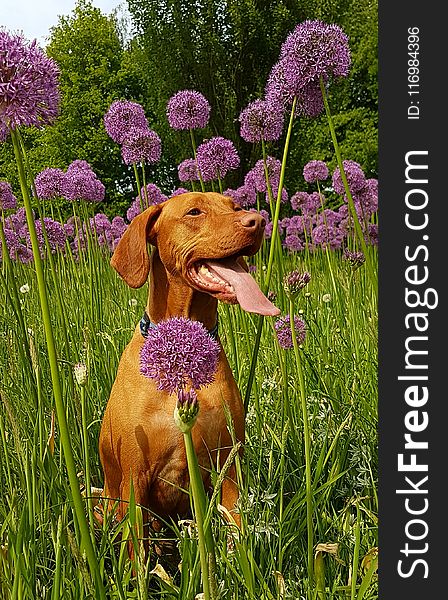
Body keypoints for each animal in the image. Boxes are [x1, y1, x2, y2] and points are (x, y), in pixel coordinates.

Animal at [100, 193, 278, 544]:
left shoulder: (228, 466)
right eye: (194, 211)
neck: (183, 353)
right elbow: (138, 552)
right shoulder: (134, 478)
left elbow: (237, 532)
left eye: (235, 207)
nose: (258, 221)